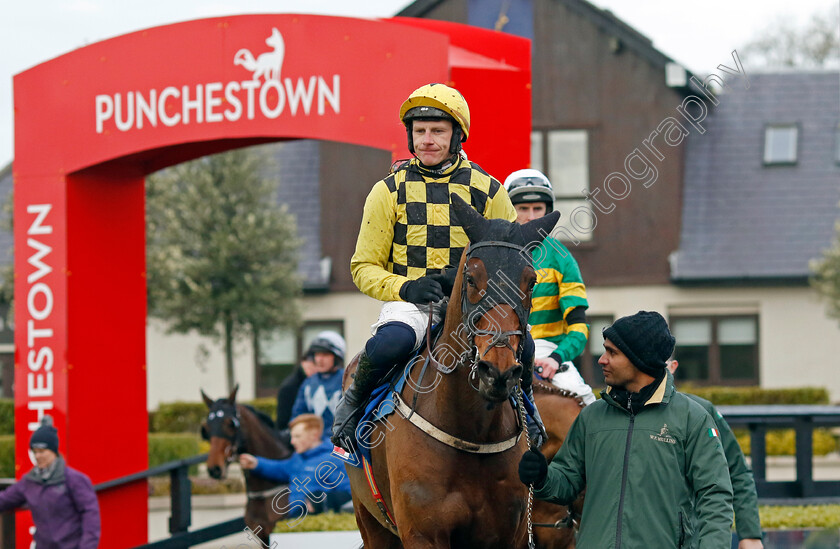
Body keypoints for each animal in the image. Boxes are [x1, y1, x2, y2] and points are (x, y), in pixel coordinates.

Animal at [338, 194, 560, 548]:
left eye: (531, 281)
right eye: (470, 279)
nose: (496, 370)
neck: (471, 431)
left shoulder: (509, 534)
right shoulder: (422, 534)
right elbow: (365, 263)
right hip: (369, 520)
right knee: (392, 339)